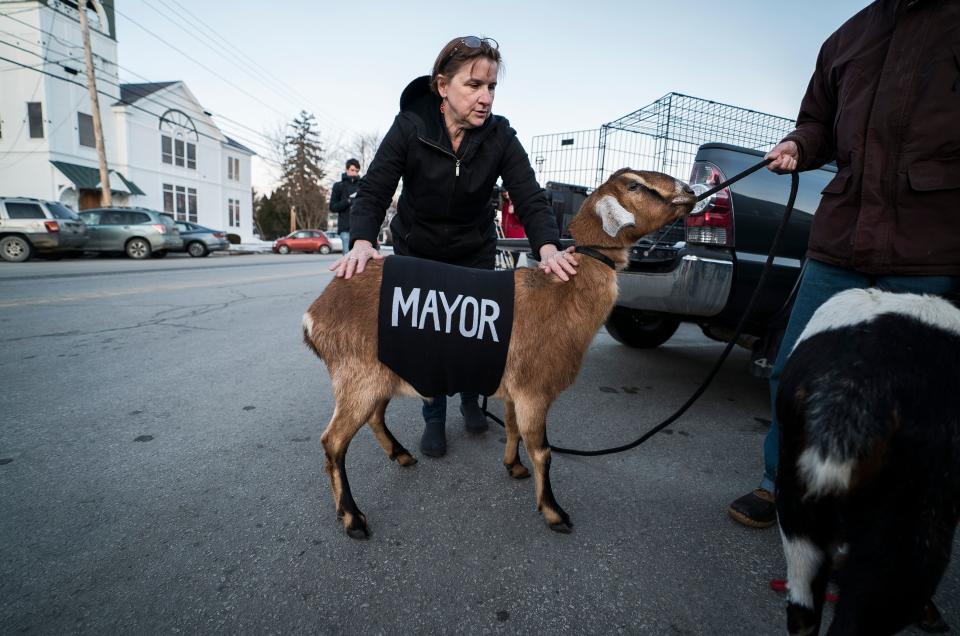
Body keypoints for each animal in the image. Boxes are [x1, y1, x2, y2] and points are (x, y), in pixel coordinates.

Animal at [304, 168, 692, 536]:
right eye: (635, 185)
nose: (690, 191)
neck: (564, 293)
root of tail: (315, 312)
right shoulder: (534, 389)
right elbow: (543, 450)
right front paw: (553, 512)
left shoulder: (514, 388)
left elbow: (512, 427)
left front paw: (514, 466)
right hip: (358, 376)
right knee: (333, 442)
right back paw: (352, 518)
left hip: (382, 373)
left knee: (374, 417)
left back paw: (401, 456)